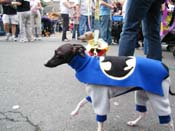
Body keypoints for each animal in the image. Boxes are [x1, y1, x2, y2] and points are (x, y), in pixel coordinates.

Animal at [44, 43, 174, 130]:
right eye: (54, 52)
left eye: (59, 54)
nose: (45, 64)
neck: (86, 64)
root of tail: (165, 67)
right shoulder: (93, 95)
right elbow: (81, 102)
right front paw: (75, 112)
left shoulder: (100, 97)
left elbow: (100, 120)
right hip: (141, 94)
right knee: (143, 112)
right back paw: (134, 122)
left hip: (158, 97)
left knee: (169, 120)